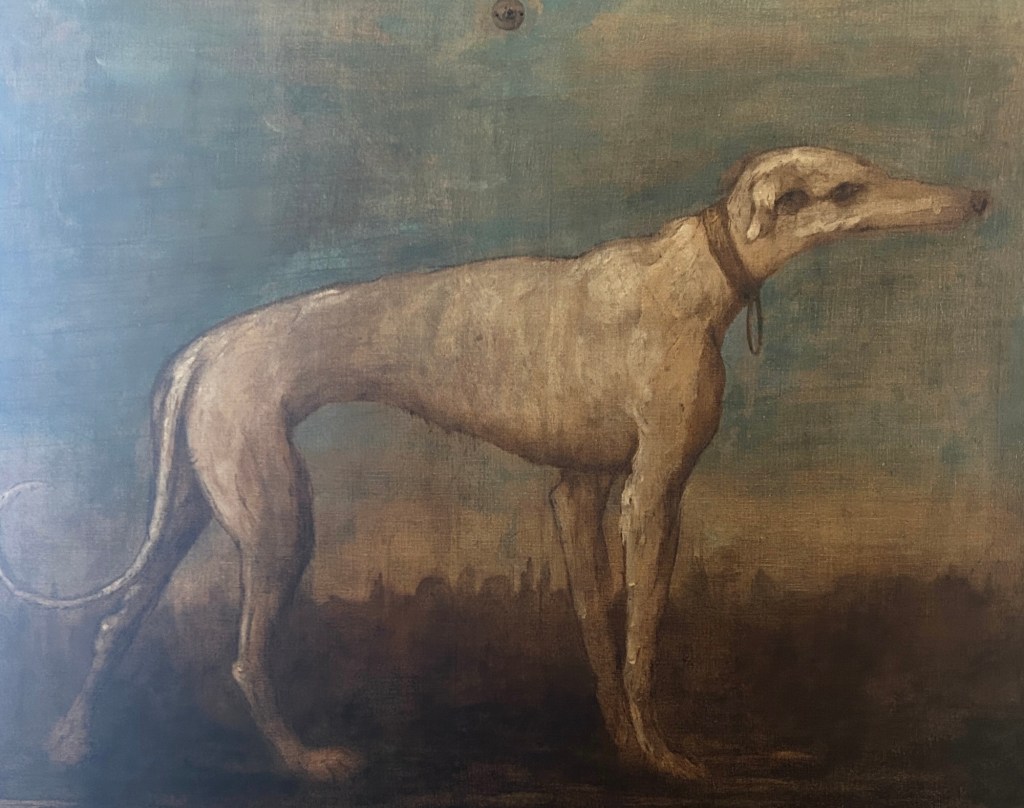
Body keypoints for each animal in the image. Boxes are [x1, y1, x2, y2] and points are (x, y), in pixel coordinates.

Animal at [0, 147, 990, 781]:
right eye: (848, 186)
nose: (979, 199)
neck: (690, 277)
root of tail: (204, 348)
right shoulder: (653, 495)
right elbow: (641, 640)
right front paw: (669, 759)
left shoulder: (579, 492)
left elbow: (599, 632)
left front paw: (624, 749)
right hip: (278, 520)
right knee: (242, 660)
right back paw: (307, 760)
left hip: (199, 507)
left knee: (115, 622)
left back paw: (69, 745)